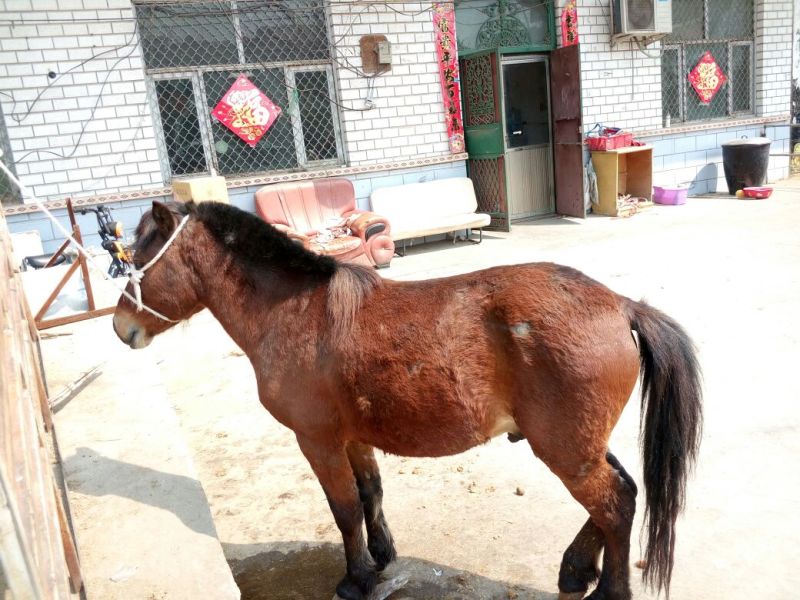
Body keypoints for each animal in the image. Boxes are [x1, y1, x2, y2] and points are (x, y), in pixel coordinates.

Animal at [113, 200, 702, 600]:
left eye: (140, 255)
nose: (121, 328)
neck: (295, 312)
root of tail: (622, 305)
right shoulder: (352, 437)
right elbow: (369, 494)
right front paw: (381, 556)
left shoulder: (317, 440)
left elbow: (344, 509)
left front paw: (355, 579)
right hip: (579, 443)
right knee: (621, 493)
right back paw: (576, 569)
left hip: (566, 448)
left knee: (615, 503)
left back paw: (606, 590)